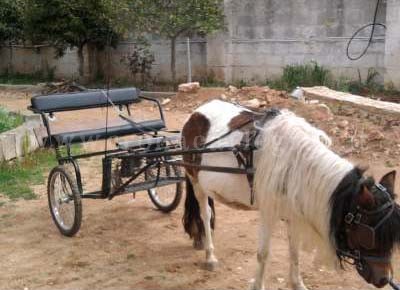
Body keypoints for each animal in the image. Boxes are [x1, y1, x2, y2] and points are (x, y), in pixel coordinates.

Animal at [181, 98, 400, 288]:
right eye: (369, 234)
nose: (383, 279)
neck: (296, 165)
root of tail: (195, 114)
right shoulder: (268, 212)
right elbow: (263, 253)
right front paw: (257, 285)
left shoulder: (294, 214)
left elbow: (294, 252)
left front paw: (297, 283)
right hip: (195, 179)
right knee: (205, 213)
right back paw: (210, 255)